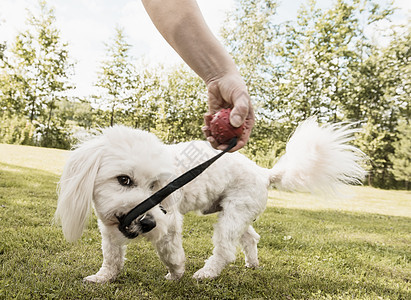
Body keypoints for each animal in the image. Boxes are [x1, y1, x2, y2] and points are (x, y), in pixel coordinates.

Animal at [54, 118, 366, 282]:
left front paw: (176, 273)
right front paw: (103, 277)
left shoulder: (170, 222)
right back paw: (252, 263)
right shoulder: (108, 227)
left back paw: (206, 273)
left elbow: (170, 252)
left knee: (226, 250)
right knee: (251, 237)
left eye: (157, 185)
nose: (148, 222)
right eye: (124, 180)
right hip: (240, 213)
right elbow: (112, 256)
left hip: (232, 216)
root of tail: (265, 173)